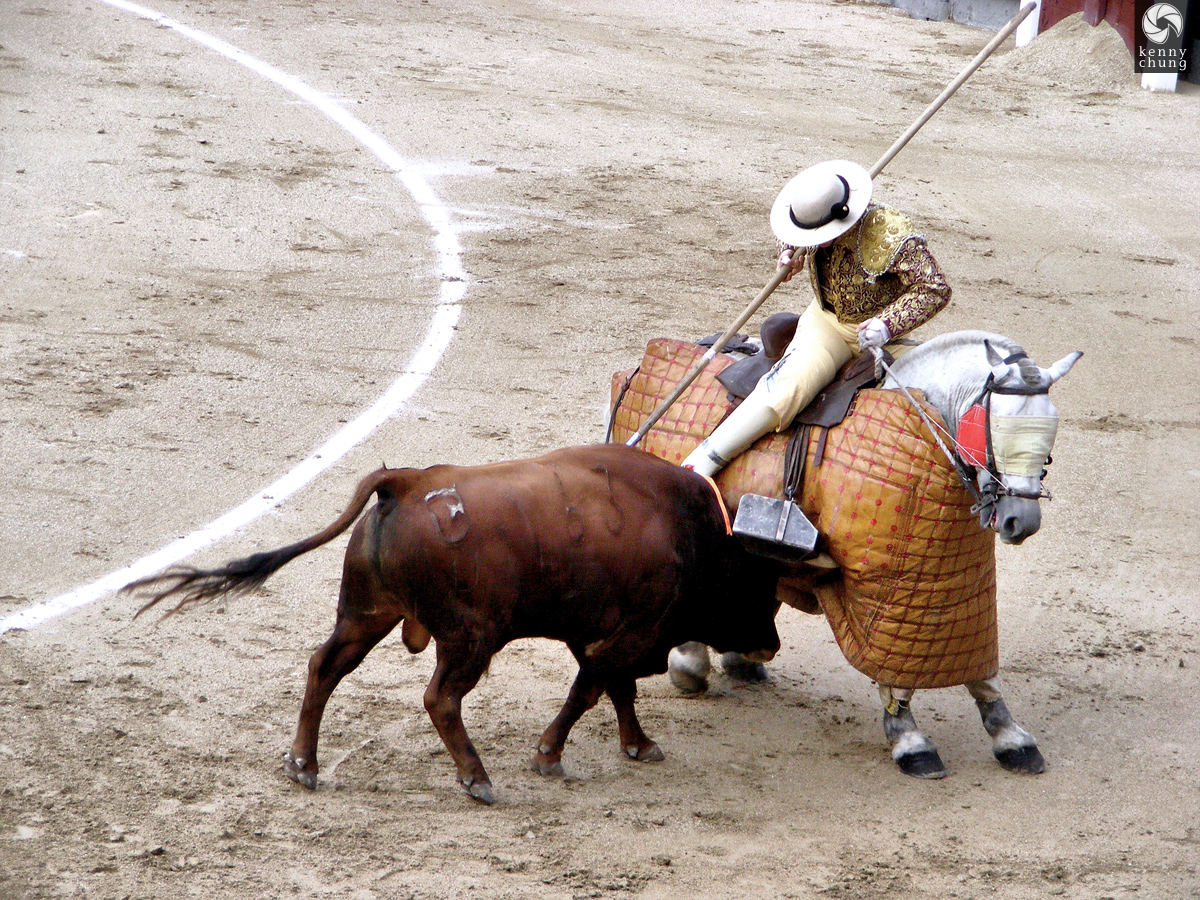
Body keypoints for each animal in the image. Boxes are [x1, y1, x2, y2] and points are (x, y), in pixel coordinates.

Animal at [129, 448, 777, 806]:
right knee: (439, 698)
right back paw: (477, 779)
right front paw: (548, 755)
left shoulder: (598, 632)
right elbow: (591, 690)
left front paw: (638, 745)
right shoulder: (631, 630)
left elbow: (612, 689)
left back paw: (303, 766)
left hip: (366, 614)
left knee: (324, 667)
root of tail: (408, 481)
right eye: (760, 587)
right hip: (470, 640)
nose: (769, 645)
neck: (689, 531)